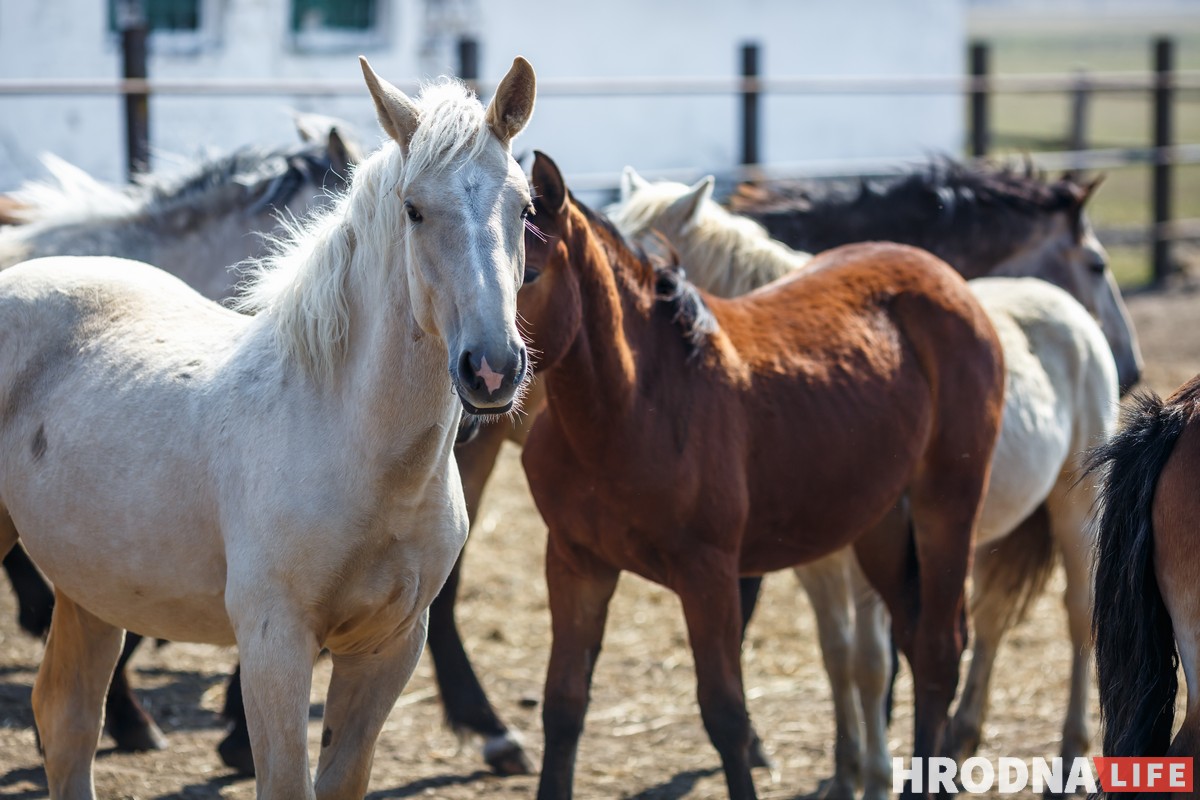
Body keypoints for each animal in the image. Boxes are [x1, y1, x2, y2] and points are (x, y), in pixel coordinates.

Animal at [523, 151, 1003, 800]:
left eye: (527, 272)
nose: (480, 372)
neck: (628, 406)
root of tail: (949, 281)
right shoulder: (576, 564)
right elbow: (563, 705)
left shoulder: (709, 573)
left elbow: (726, 714)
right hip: (880, 524)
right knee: (912, 635)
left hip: (946, 508)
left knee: (937, 651)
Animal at [609, 175, 1123, 800]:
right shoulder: (818, 566)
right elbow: (839, 658)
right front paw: (846, 770)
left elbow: (872, 663)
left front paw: (875, 776)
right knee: (991, 617)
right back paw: (961, 742)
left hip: (1072, 512)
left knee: (1076, 614)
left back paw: (1070, 752)